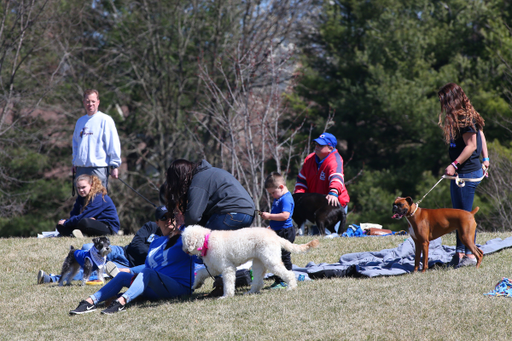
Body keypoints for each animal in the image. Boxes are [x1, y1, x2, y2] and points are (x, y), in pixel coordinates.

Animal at [181, 224, 320, 296]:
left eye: (183, 240)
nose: (183, 249)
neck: (207, 240)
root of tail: (275, 235)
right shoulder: (214, 267)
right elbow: (200, 272)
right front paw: (196, 284)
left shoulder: (227, 268)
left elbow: (228, 283)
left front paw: (226, 296)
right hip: (258, 263)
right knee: (258, 281)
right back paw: (251, 291)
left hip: (270, 260)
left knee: (288, 273)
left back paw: (291, 287)